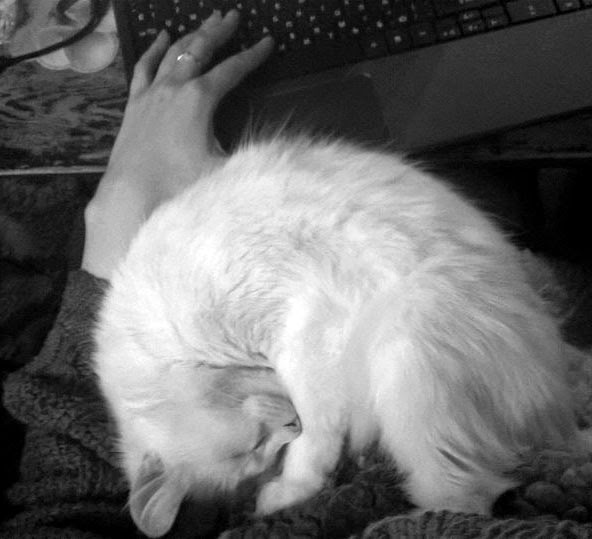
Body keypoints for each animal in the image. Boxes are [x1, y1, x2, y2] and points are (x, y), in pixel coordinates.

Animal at [93, 134, 589, 538]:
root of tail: (558, 407)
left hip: (404, 351)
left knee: (466, 499)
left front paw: (287, 489)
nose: (288, 427)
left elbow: (318, 437)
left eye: (254, 448)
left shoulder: (308, 327)